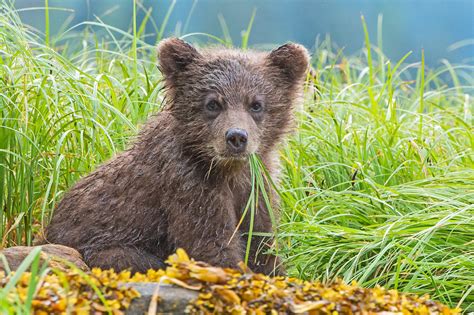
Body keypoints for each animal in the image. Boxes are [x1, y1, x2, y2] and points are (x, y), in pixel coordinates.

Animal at [43, 38, 308, 276]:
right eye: (213, 103)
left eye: (256, 104)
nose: (236, 137)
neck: (227, 170)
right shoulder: (189, 185)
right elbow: (210, 244)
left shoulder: (256, 184)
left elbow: (260, 241)